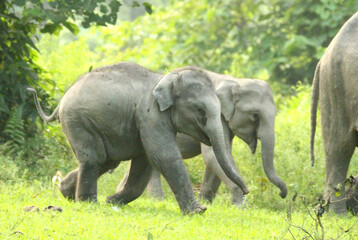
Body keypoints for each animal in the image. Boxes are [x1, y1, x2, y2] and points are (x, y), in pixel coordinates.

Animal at [27, 61, 249, 214]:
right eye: (200, 110)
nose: (247, 190)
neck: (164, 78)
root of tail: (61, 102)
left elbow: (145, 163)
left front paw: (112, 201)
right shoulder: (150, 115)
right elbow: (164, 157)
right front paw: (198, 211)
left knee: (107, 161)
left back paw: (66, 192)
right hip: (78, 121)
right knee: (93, 159)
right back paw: (88, 202)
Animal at [126, 68, 288, 206]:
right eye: (255, 115)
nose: (282, 194)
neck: (234, 81)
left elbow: (218, 159)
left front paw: (205, 202)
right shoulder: (217, 116)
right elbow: (213, 156)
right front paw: (241, 206)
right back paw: (158, 200)